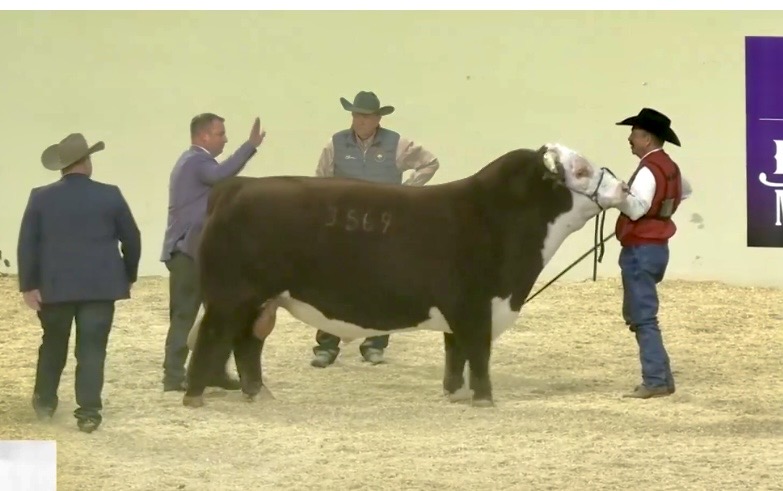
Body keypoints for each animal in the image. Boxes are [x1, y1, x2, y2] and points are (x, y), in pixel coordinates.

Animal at [181, 143, 629, 409]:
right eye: (581, 170)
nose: (624, 188)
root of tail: (237, 187)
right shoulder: (474, 306)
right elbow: (478, 353)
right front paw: (484, 399)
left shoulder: (461, 312)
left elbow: (456, 354)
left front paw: (453, 393)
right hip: (231, 296)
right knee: (212, 338)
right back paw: (194, 397)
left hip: (262, 300)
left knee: (247, 344)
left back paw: (260, 393)